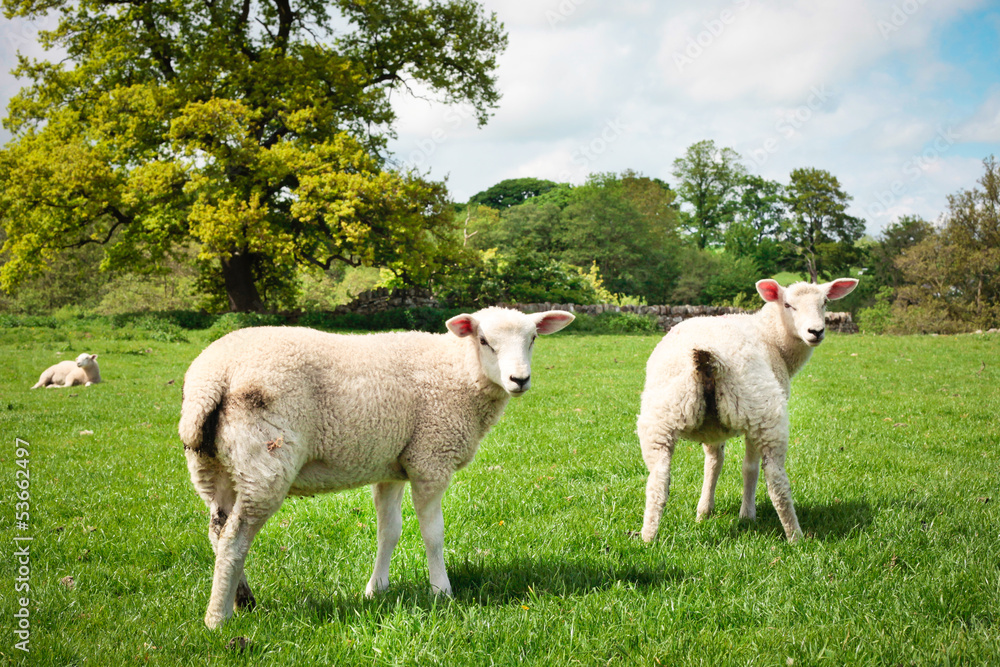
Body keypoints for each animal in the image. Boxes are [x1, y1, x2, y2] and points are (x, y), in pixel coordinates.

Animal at [178, 307, 575, 629]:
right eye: (484, 340)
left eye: (533, 338)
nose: (519, 380)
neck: (458, 372)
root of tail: (210, 379)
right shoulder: (430, 459)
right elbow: (433, 534)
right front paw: (441, 590)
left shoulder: (391, 467)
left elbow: (389, 532)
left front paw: (376, 590)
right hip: (265, 460)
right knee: (235, 538)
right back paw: (218, 619)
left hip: (214, 465)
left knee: (218, 530)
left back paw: (242, 599)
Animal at [637, 278, 858, 543]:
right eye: (788, 304)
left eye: (825, 302)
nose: (815, 332)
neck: (773, 336)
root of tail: (709, 359)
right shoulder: (751, 424)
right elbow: (748, 469)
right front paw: (746, 516)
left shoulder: (712, 430)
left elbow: (713, 463)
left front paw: (704, 512)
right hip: (762, 413)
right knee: (775, 481)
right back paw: (795, 536)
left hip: (659, 418)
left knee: (658, 480)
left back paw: (648, 538)